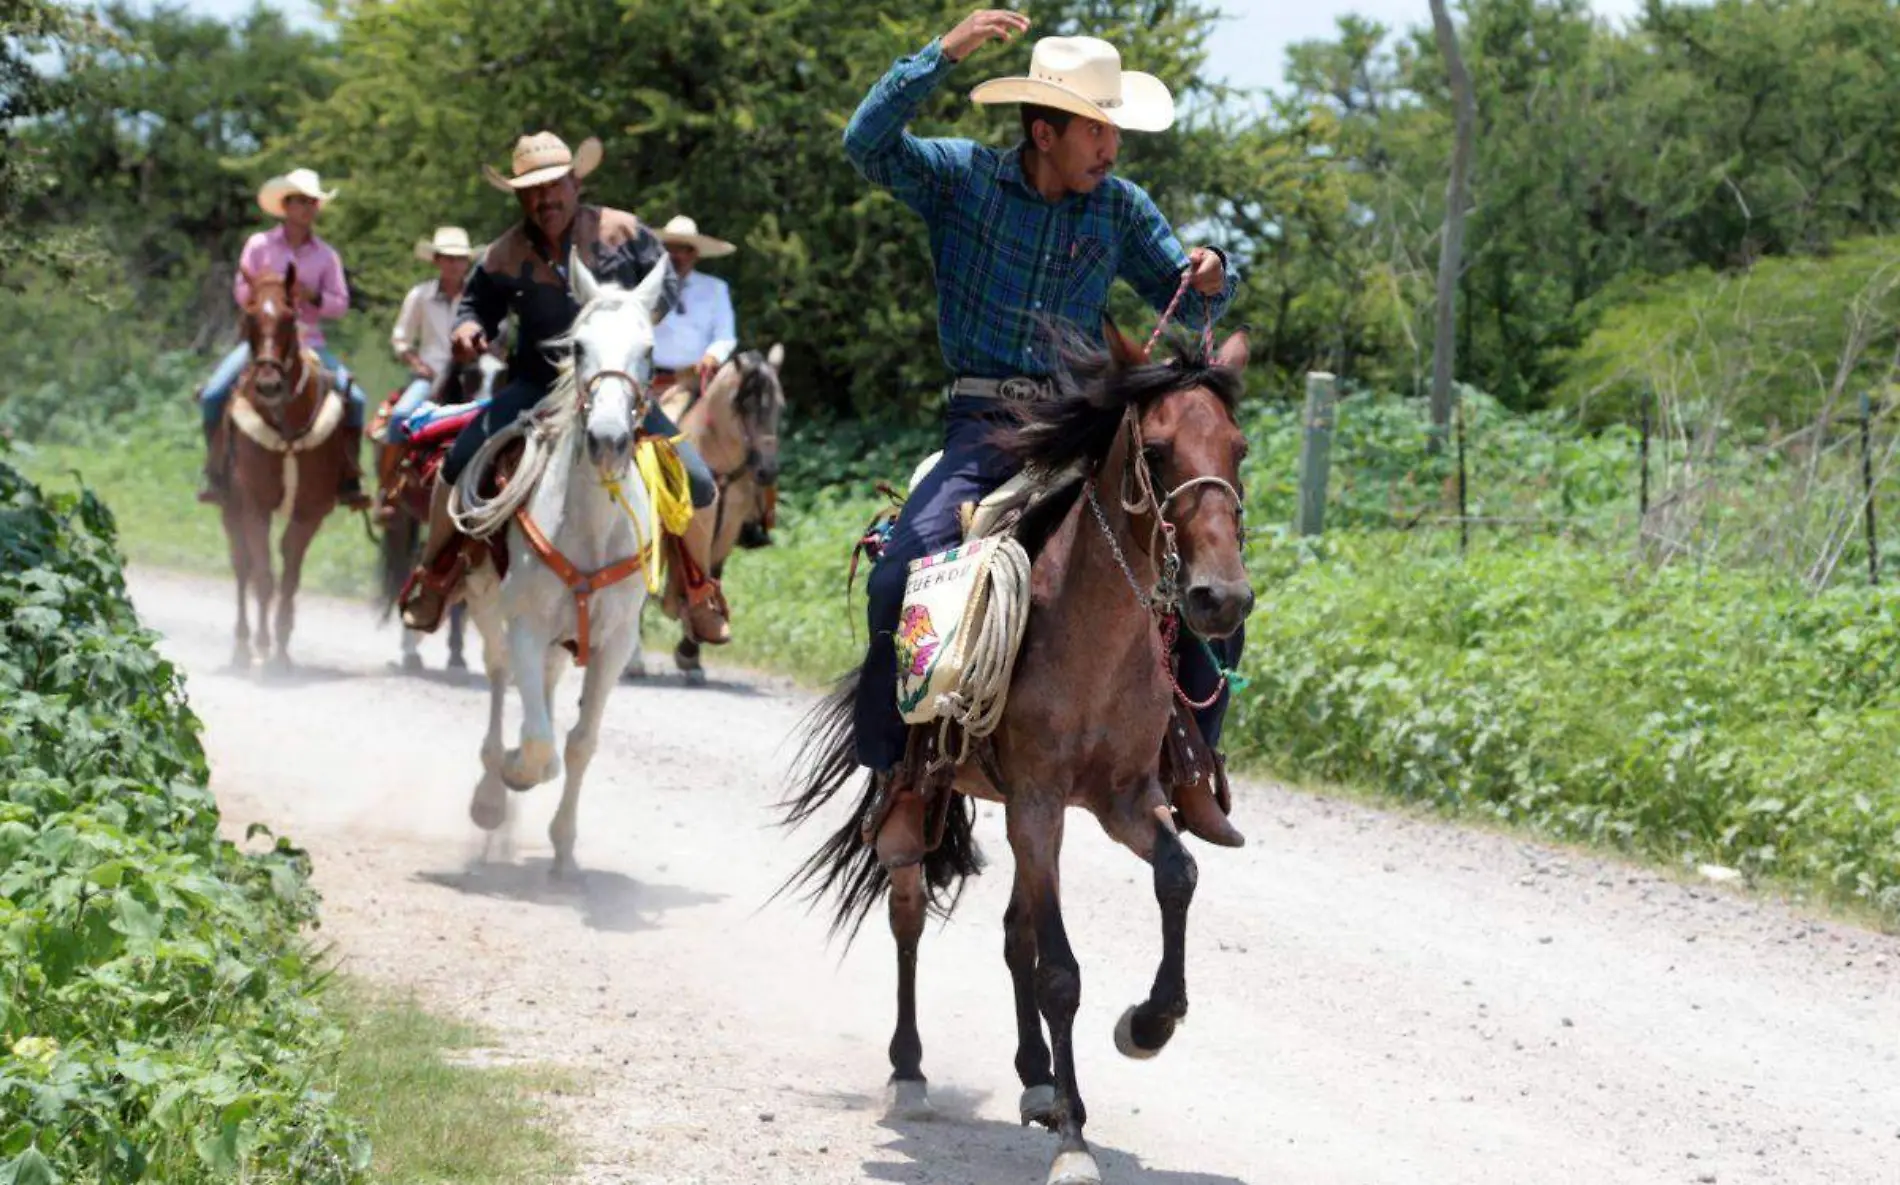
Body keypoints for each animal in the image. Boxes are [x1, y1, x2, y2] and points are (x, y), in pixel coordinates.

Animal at [215, 265, 357, 668]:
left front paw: (280, 645)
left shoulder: (310, 512)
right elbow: (263, 576)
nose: (268, 385)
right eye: (249, 315)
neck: (287, 426)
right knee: (242, 566)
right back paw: (242, 645)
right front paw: (263, 643)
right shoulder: (254, 506)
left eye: (291, 318)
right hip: (229, 508)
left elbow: (290, 575)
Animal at [630, 341, 786, 679]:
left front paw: (693, 649)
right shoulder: (698, 524)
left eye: (779, 407)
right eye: (742, 405)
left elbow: (713, 573)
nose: (767, 471)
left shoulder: (729, 525)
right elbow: (697, 571)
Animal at [779, 324, 1254, 1185]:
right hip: (934, 810)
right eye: (1158, 449)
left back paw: (1036, 1076)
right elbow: (1060, 971)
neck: (1092, 632)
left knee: (1014, 933)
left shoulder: (1124, 799)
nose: (1220, 597)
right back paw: (911, 1071)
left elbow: (1178, 875)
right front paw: (1074, 1141)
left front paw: (1147, 1024)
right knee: (909, 915)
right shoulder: (1039, 799)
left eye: (1238, 448)